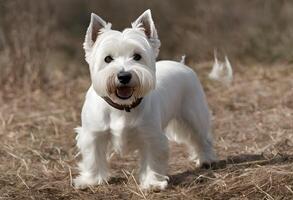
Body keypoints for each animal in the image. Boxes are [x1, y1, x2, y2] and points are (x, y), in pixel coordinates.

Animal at [74, 9, 216, 190]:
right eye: (107, 59)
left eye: (137, 56)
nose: (124, 76)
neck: (122, 107)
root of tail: (182, 64)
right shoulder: (93, 134)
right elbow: (93, 158)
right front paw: (91, 181)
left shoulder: (151, 136)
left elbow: (152, 161)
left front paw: (152, 183)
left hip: (194, 116)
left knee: (202, 138)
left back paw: (206, 160)